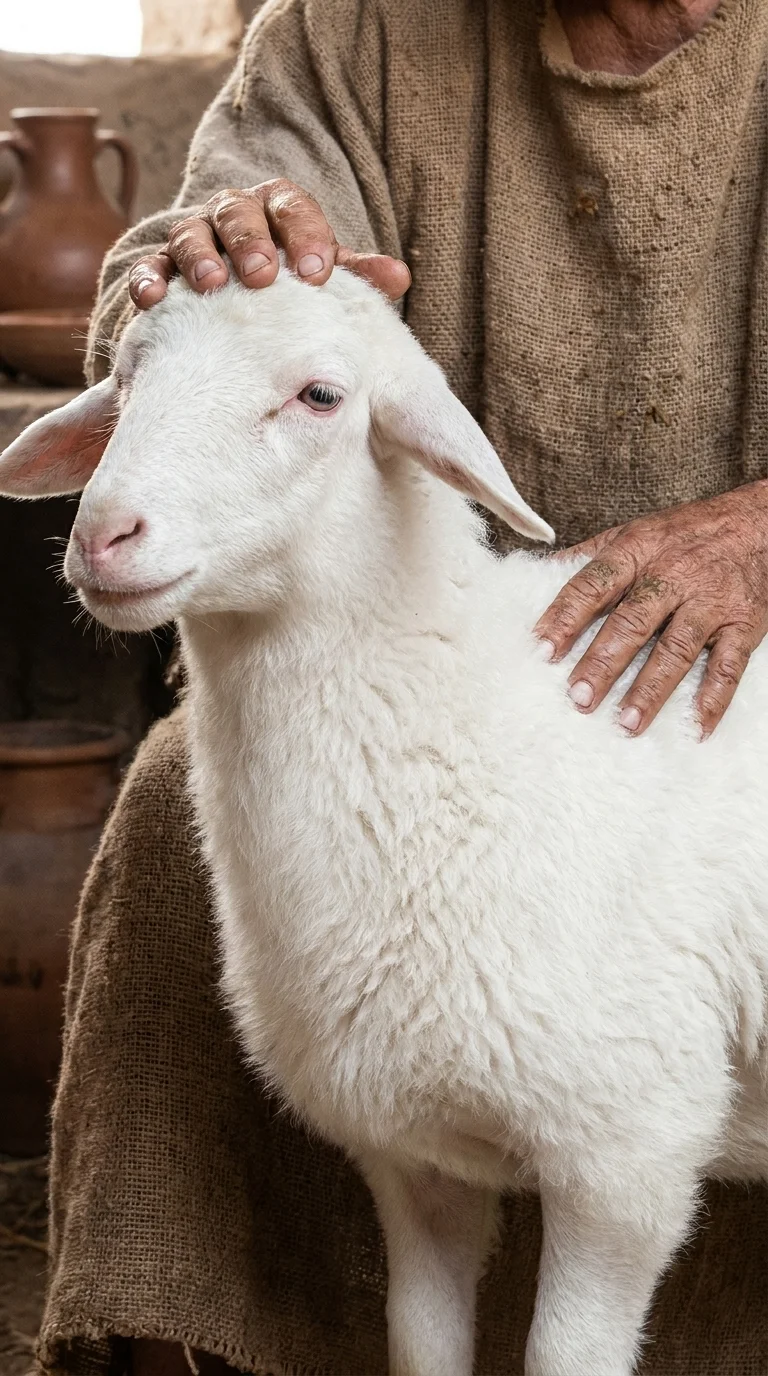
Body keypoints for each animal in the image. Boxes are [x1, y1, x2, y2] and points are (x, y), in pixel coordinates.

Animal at [1, 266, 766, 1376]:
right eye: (128, 372)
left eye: (321, 396)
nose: (105, 534)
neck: (463, 725)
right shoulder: (416, 1162)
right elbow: (420, 1340)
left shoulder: (627, 1156)